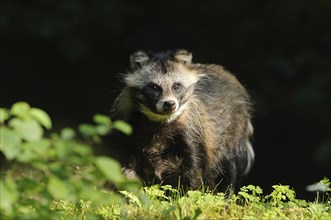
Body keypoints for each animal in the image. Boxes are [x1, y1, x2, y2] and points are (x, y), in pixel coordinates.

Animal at [111, 49, 254, 192]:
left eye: (176, 86)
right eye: (154, 87)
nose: (169, 104)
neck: (159, 122)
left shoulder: (192, 132)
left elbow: (194, 170)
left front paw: (189, 194)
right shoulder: (127, 129)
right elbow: (126, 170)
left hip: (233, 132)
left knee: (229, 169)